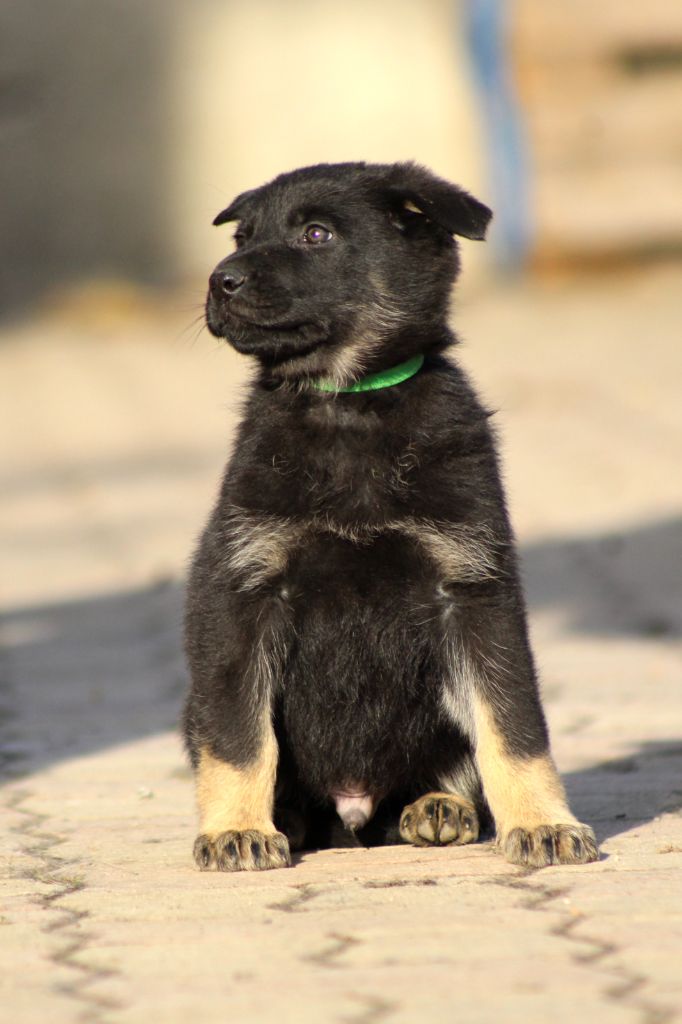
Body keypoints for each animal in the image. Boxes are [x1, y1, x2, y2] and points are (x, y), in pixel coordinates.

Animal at [183, 161, 598, 871]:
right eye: (242, 236)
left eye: (316, 234)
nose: (219, 280)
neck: (349, 403)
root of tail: (354, 813)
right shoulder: (244, 592)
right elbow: (239, 734)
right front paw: (236, 827)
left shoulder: (473, 591)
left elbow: (512, 722)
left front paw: (543, 821)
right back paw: (287, 818)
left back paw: (440, 806)